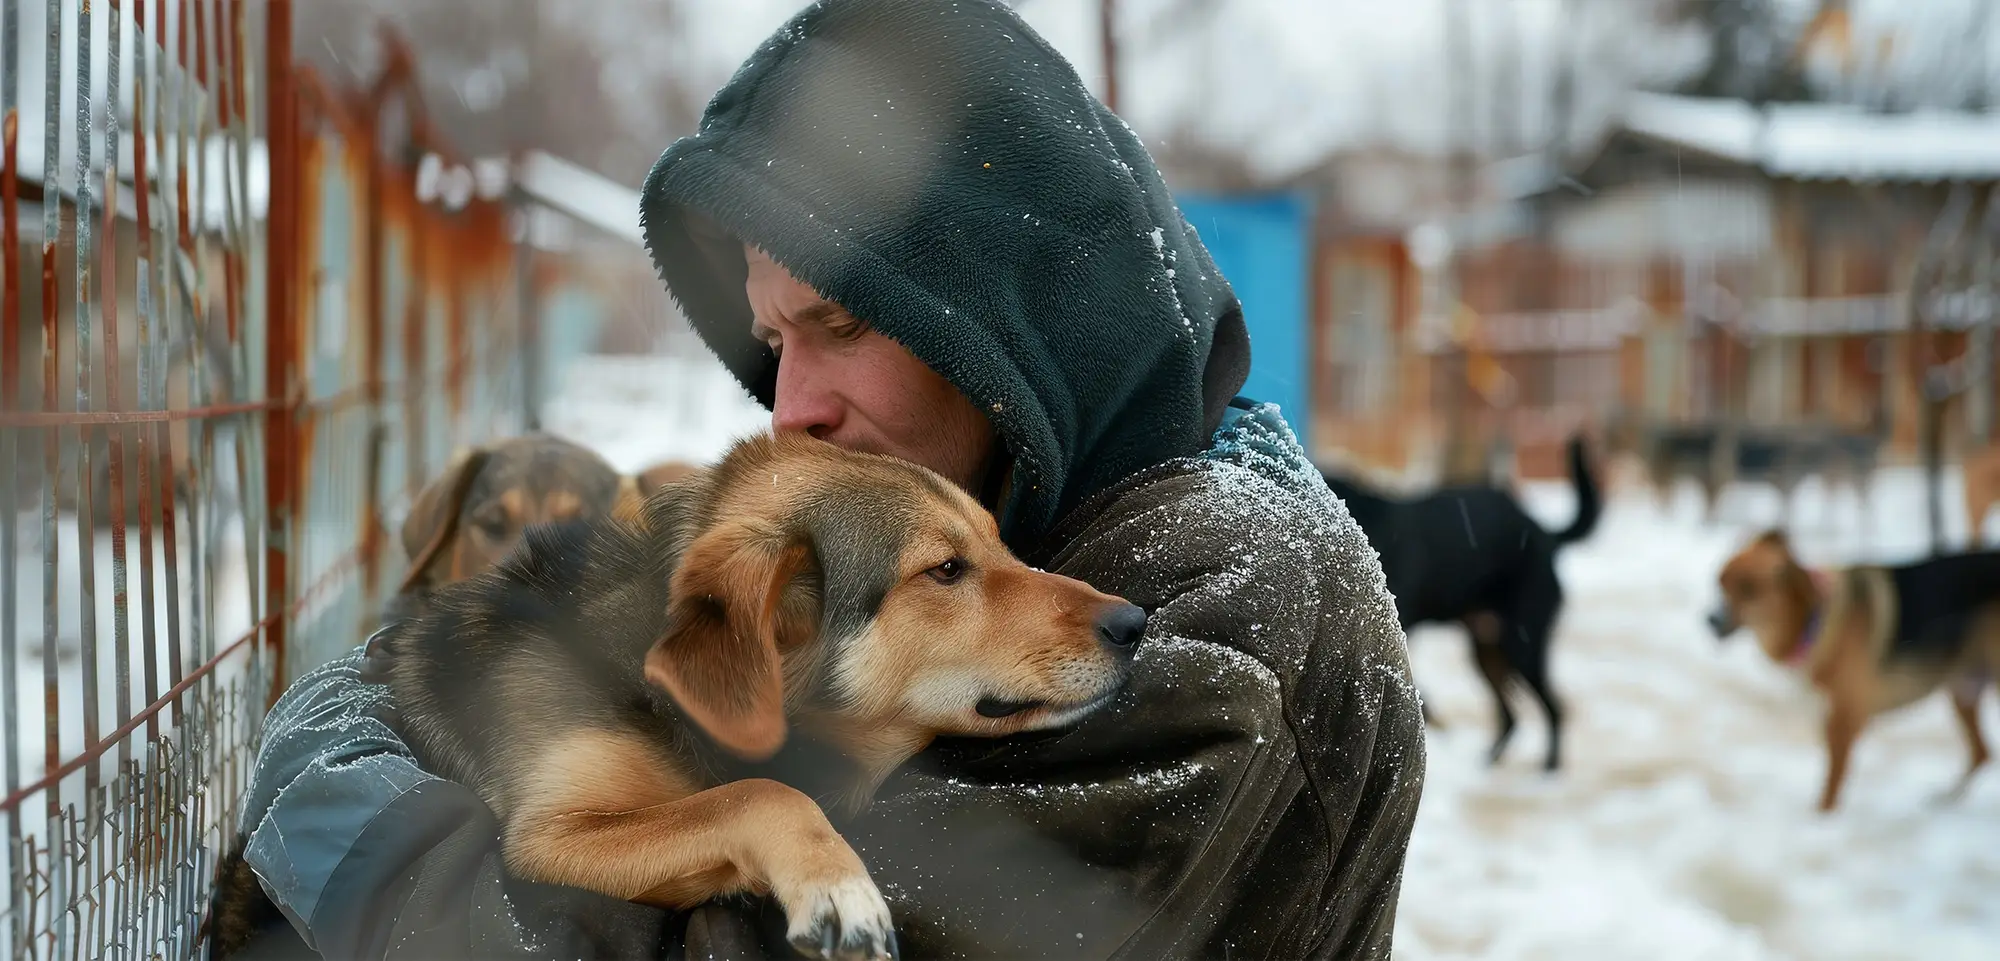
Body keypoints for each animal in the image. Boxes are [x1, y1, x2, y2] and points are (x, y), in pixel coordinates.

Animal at [1320, 436, 1600, 772]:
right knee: (1511, 717)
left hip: (1522, 645)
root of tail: (1545, 534)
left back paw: (1549, 770)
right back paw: (1487, 762)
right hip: (1486, 651)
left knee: (1554, 709)